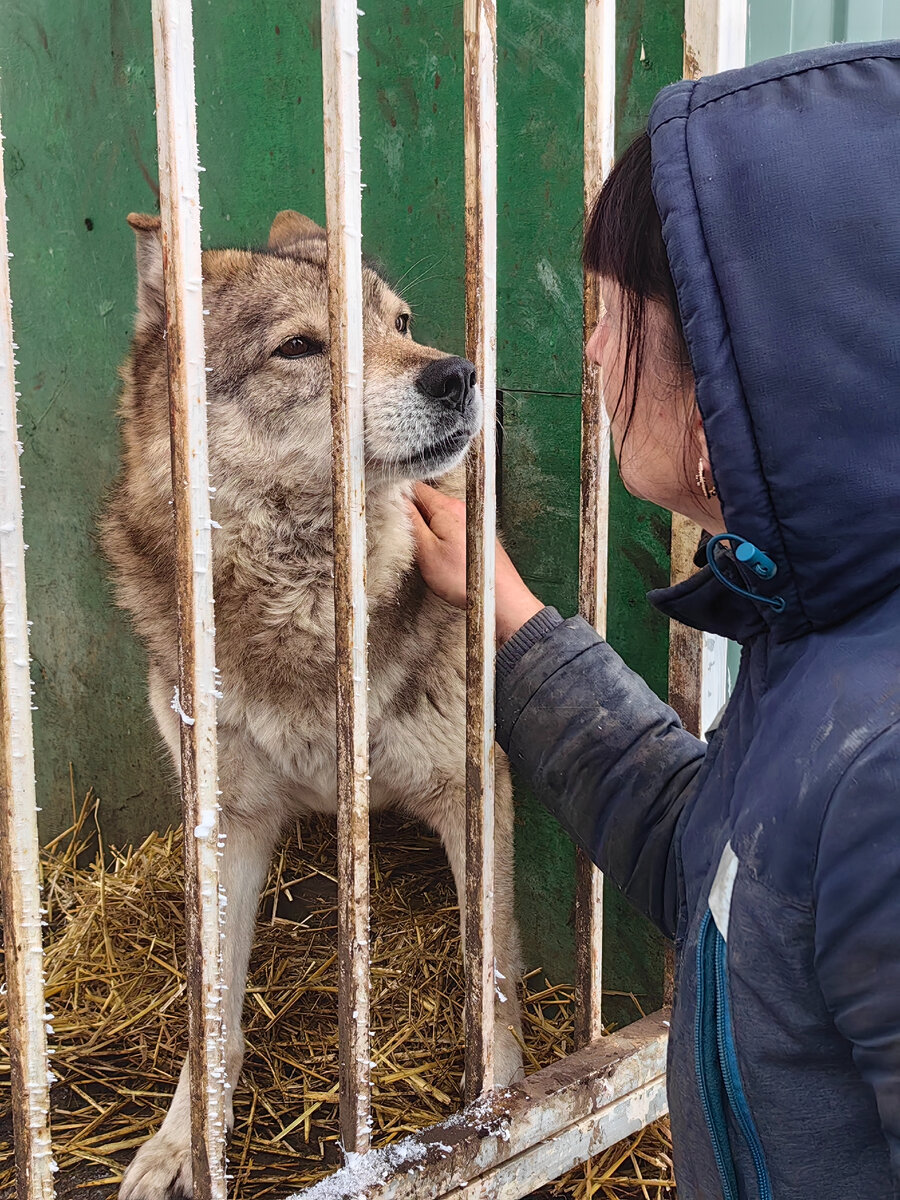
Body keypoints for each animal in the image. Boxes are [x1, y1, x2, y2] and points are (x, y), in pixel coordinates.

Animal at [101, 211, 525, 1195]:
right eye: (300, 347)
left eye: (402, 323)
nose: (458, 374)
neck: (305, 608)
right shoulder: (226, 822)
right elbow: (210, 1018)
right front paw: (183, 1144)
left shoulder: (471, 788)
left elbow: (490, 980)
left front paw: (501, 1110)